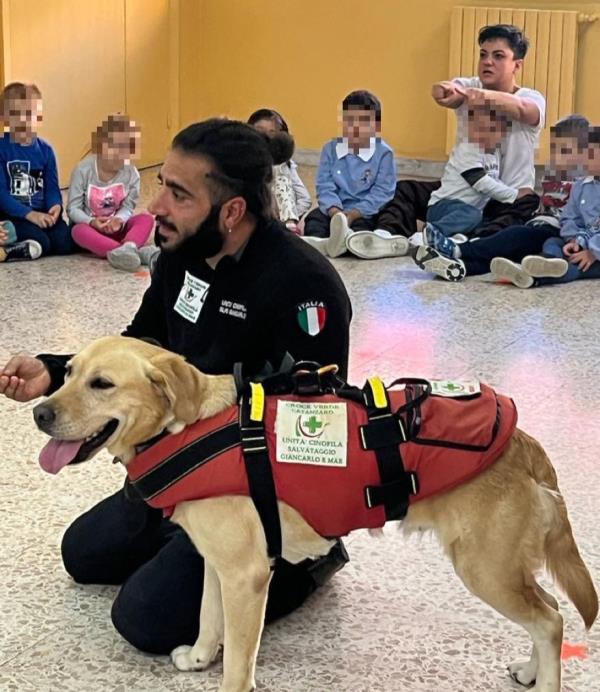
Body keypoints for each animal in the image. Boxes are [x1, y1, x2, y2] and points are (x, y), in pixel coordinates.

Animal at [34, 334, 600, 688]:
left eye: (102, 384)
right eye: (67, 373)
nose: (39, 412)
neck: (186, 429)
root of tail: (524, 442)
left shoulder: (246, 577)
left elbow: (237, 664)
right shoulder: (218, 566)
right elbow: (208, 620)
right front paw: (198, 657)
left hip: (485, 568)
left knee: (550, 620)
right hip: (503, 568)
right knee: (548, 608)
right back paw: (532, 671)